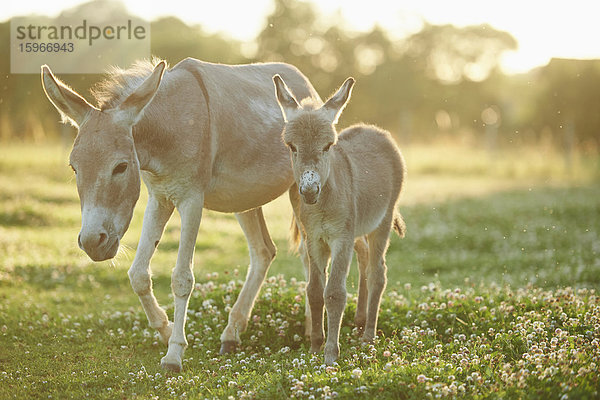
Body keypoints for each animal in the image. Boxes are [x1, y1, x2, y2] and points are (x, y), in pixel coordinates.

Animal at [274, 73, 406, 364]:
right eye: (291, 147)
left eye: (328, 146)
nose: (309, 191)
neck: (322, 205)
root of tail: (373, 129)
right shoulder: (314, 239)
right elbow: (314, 290)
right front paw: (315, 346)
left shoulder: (340, 239)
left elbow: (334, 293)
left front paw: (330, 355)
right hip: (357, 229)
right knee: (365, 259)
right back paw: (360, 320)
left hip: (381, 221)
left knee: (378, 272)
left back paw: (368, 335)